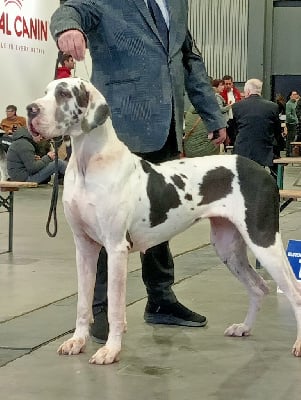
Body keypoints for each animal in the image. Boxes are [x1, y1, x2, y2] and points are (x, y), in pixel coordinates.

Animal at [26, 78, 300, 366]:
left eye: (64, 93)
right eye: (46, 92)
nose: (30, 109)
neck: (87, 163)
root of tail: (263, 171)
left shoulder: (116, 249)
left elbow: (115, 308)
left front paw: (111, 350)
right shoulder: (85, 247)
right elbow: (83, 302)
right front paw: (78, 341)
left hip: (263, 239)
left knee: (294, 291)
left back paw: (297, 343)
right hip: (228, 247)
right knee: (258, 287)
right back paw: (244, 327)